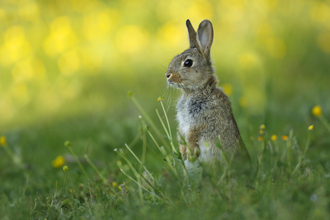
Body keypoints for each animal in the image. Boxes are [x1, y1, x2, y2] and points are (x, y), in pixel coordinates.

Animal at [165, 18, 250, 177]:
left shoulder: (200, 121)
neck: (197, 90)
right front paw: (182, 152)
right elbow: (181, 134)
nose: (168, 76)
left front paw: (189, 153)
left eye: (188, 63)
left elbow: (192, 136)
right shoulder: (183, 124)